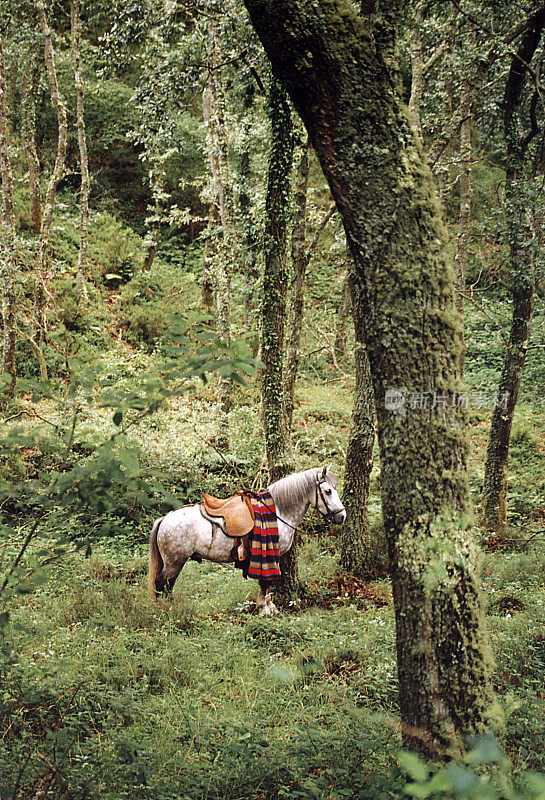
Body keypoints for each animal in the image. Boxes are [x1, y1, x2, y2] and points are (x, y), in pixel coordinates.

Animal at [147, 466, 346, 616]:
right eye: (328, 491)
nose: (342, 516)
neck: (278, 511)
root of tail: (164, 519)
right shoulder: (268, 555)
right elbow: (265, 582)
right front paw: (264, 608)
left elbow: (267, 584)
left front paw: (268, 605)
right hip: (175, 561)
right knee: (163, 584)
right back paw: (167, 610)